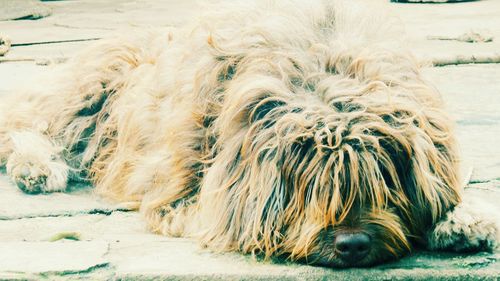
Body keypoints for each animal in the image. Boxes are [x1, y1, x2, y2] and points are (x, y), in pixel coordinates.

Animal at [0, 0, 496, 266]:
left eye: (384, 181)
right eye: (310, 186)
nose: (352, 245)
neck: (325, 70)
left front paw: (463, 218)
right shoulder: (185, 189)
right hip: (89, 89)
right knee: (24, 124)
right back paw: (37, 167)